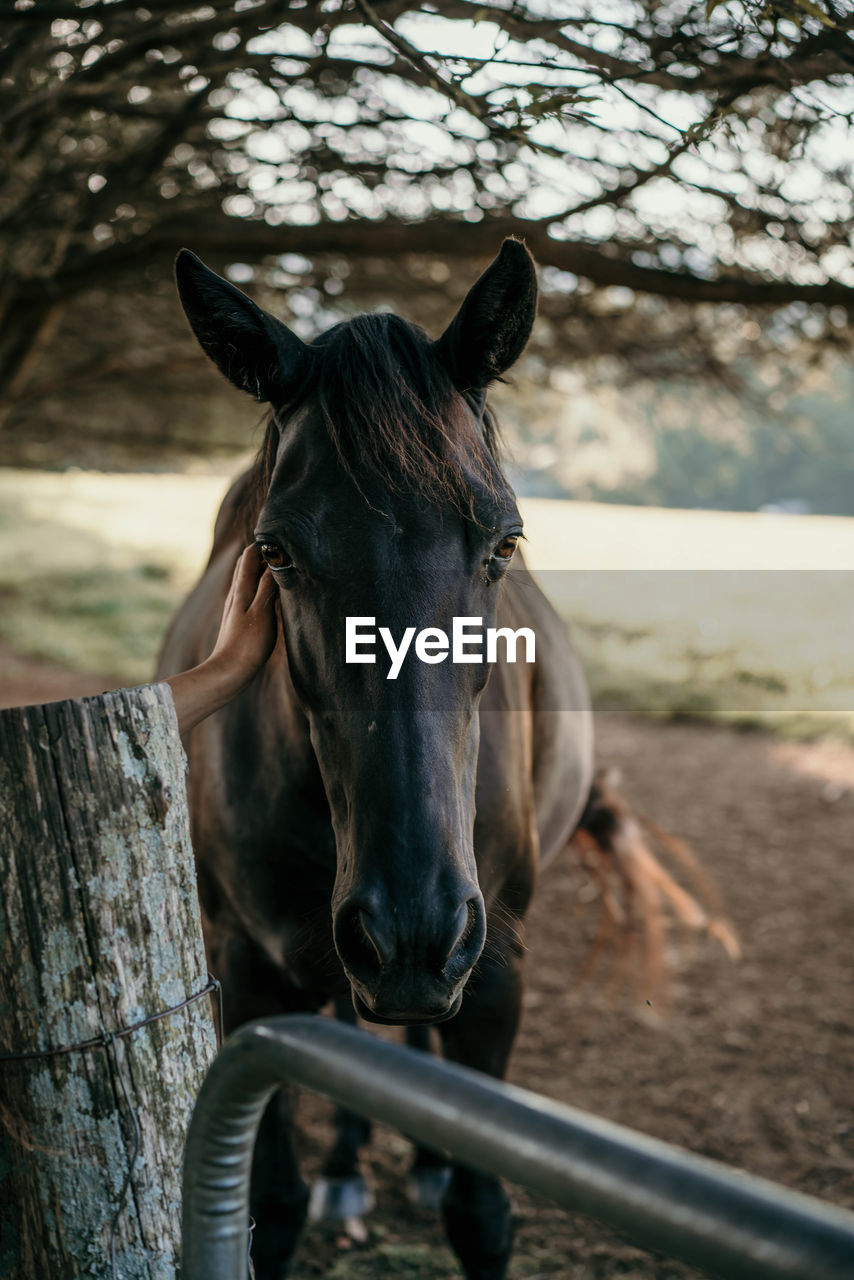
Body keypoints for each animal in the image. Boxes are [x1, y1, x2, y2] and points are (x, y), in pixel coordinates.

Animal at [156, 241, 594, 1280]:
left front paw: (447, 1170)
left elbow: (482, 1211)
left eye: (504, 542)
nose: (413, 926)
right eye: (274, 552)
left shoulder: (496, 976)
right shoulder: (252, 976)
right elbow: (270, 1206)